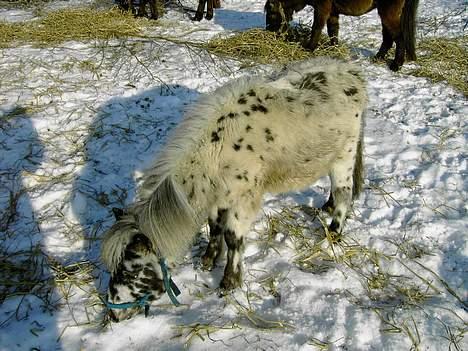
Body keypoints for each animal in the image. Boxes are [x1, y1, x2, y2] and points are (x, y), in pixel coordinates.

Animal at [100, 57, 368, 322]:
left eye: (131, 272)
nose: (113, 314)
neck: (216, 150)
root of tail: (350, 71)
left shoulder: (243, 201)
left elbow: (233, 238)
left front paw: (229, 282)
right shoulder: (219, 198)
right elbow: (214, 227)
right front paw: (207, 261)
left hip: (344, 156)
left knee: (344, 192)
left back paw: (333, 233)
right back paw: (326, 207)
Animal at [264, 0, 420, 71]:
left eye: (271, 13)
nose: (269, 33)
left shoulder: (322, 8)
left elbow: (317, 28)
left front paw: (309, 48)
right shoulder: (332, 11)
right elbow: (333, 31)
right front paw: (334, 50)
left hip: (388, 12)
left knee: (398, 37)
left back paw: (396, 64)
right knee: (388, 37)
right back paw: (378, 57)